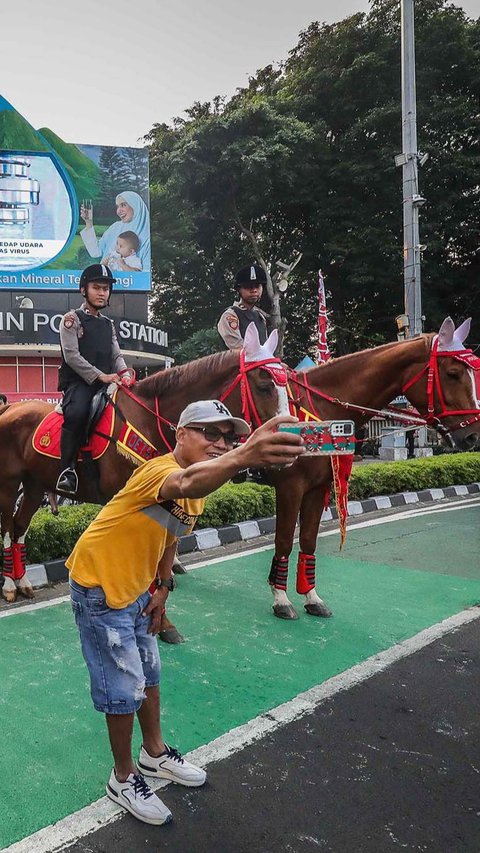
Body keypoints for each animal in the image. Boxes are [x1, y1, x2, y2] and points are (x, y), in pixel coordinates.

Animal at [0, 324, 288, 600]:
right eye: (264, 387)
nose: (287, 433)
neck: (149, 420)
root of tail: (10, 408)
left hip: (35, 484)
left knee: (19, 526)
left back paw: (22, 581)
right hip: (9, 484)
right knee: (7, 525)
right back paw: (9, 585)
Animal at [266, 320, 480, 620]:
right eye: (452, 373)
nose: (472, 436)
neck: (320, 410)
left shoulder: (317, 487)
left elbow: (308, 540)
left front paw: (311, 597)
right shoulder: (290, 486)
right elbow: (284, 540)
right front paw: (281, 600)